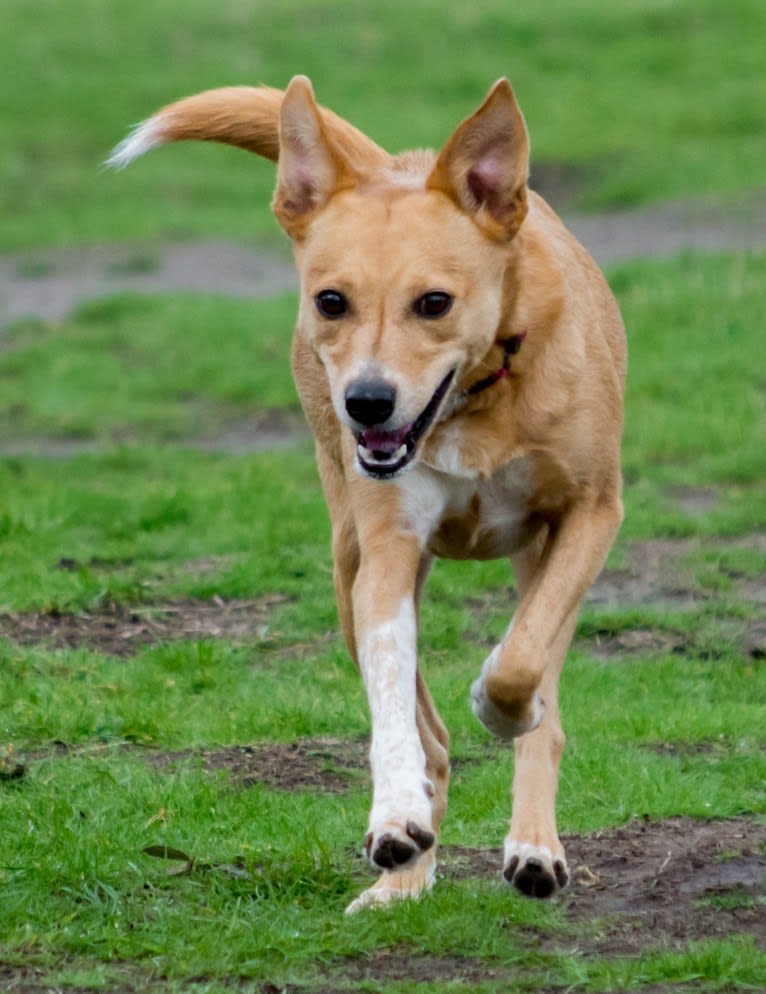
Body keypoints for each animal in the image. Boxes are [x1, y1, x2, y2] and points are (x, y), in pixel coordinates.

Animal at [111, 77, 628, 912]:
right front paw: (395, 821)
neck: (478, 399)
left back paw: (532, 847)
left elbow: (519, 665)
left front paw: (499, 701)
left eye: (435, 302)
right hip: (346, 560)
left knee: (538, 689)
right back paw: (404, 877)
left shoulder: (592, 513)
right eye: (331, 301)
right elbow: (394, 697)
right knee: (433, 739)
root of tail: (394, 164)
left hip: (540, 553)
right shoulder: (387, 551)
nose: (367, 402)